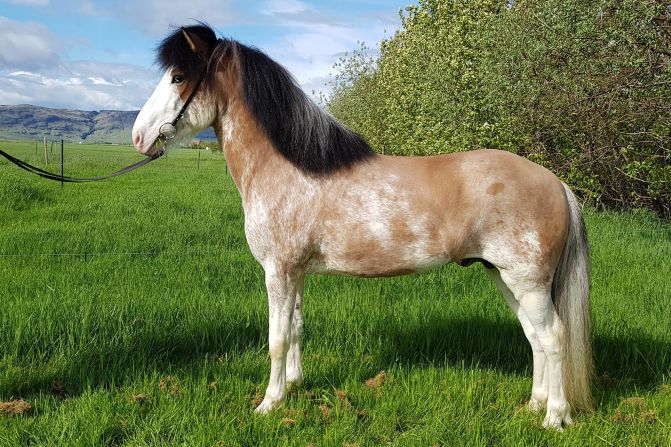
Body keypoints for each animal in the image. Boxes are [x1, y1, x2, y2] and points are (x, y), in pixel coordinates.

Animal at [134, 25, 596, 430]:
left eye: (178, 77)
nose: (139, 137)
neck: (289, 169)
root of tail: (556, 182)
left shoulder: (278, 272)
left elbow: (276, 339)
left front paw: (270, 403)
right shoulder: (296, 274)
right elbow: (296, 328)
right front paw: (295, 385)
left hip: (528, 282)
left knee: (554, 337)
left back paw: (555, 417)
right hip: (504, 276)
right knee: (533, 336)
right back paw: (533, 405)